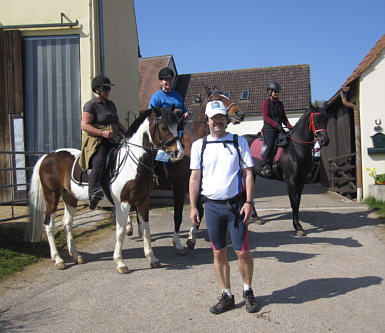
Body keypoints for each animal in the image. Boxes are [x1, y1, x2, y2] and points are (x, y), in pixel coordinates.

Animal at [24, 106, 184, 272]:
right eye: (164, 127)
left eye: (177, 126)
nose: (178, 153)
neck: (133, 163)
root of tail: (47, 156)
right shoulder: (123, 203)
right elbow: (120, 232)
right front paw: (120, 262)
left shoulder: (143, 201)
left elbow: (146, 230)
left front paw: (152, 259)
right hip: (52, 195)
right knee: (49, 224)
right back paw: (58, 259)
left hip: (69, 197)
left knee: (67, 224)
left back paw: (76, 256)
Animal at [244, 104, 328, 236]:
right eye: (316, 120)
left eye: (327, 119)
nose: (325, 140)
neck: (295, 148)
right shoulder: (291, 180)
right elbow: (294, 201)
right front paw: (298, 227)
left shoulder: (301, 180)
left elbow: (298, 201)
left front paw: (298, 226)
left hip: (252, 174)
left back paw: (255, 217)